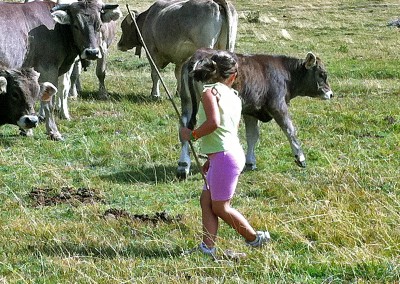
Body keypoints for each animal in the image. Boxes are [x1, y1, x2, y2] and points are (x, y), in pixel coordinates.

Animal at [0, 0, 122, 140]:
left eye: (99, 25)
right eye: (76, 26)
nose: (92, 52)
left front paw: (26, 130)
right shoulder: (48, 68)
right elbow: (48, 103)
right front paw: (53, 131)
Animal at [177, 48, 332, 179]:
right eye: (322, 74)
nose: (331, 94)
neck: (284, 73)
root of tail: (199, 56)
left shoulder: (250, 110)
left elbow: (252, 135)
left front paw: (250, 162)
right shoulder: (277, 105)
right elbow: (289, 129)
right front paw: (300, 157)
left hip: (187, 102)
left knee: (184, 129)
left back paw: (183, 165)